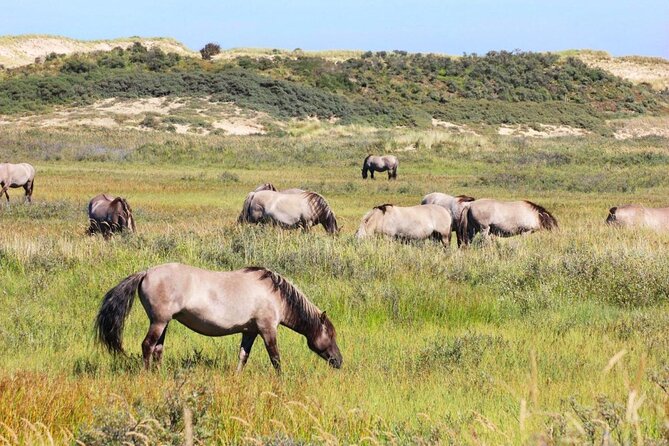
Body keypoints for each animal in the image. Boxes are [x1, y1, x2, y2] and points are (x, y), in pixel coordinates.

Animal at [96, 262, 342, 372]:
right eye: (330, 335)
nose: (339, 361)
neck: (275, 295)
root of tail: (146, 273)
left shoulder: (250, 332)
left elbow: (243, 356)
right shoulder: (267, 329)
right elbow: (275, 357)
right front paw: (281, 379)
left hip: (163, 323)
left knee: (157, 349)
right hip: (159, 321)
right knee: (147, 346)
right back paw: (147, 374)